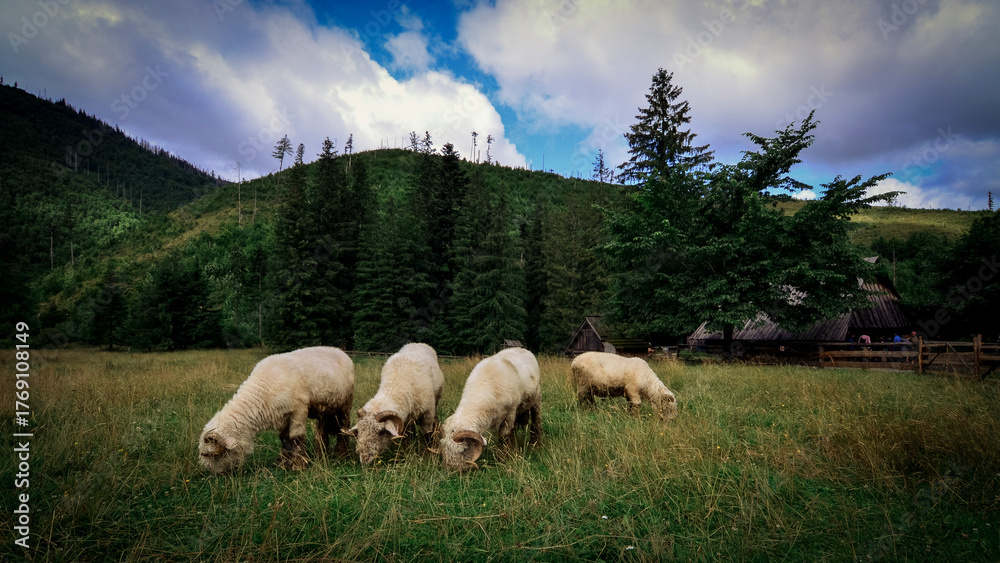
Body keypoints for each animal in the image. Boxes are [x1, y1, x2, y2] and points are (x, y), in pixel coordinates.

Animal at [199, 346, 354, 473]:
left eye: (211, 455)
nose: (216, 474)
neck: (262, 392)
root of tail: (340, 351)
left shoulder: (299, 410)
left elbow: (296, 437)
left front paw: (299, 465)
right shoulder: (282, 416)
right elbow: (284, 439)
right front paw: (284, 463)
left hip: (345, 404)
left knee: (344, 426)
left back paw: (342, 454)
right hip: (325, 409)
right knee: (321, 430)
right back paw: (320, 454)